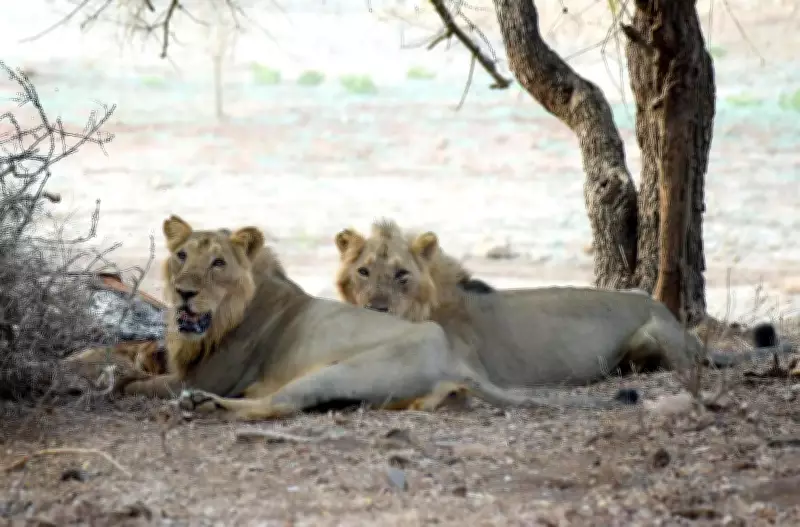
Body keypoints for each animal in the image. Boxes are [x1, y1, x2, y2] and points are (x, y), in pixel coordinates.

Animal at [63, 215, 637, 421]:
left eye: (218, 263)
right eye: (181, 256)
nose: (184, 294)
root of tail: (454, 358)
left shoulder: (205, 371)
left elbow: (135, 383)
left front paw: (108, 380)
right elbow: (126, 352)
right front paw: (83, 359)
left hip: (337, 370)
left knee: (274, 406)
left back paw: (205, 407)